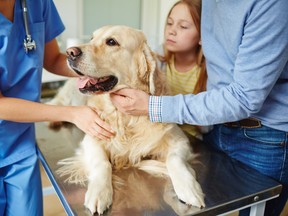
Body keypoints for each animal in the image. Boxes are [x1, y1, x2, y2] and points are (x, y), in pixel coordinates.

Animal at [51, 25, 205, 214]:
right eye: (92, 38)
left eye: (111, 42)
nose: (70, 52)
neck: (125, 118)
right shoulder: (92, 137)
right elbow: (103, 163)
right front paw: (99, 193)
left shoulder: (179, 138)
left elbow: (174, 159)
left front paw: (189, 188)